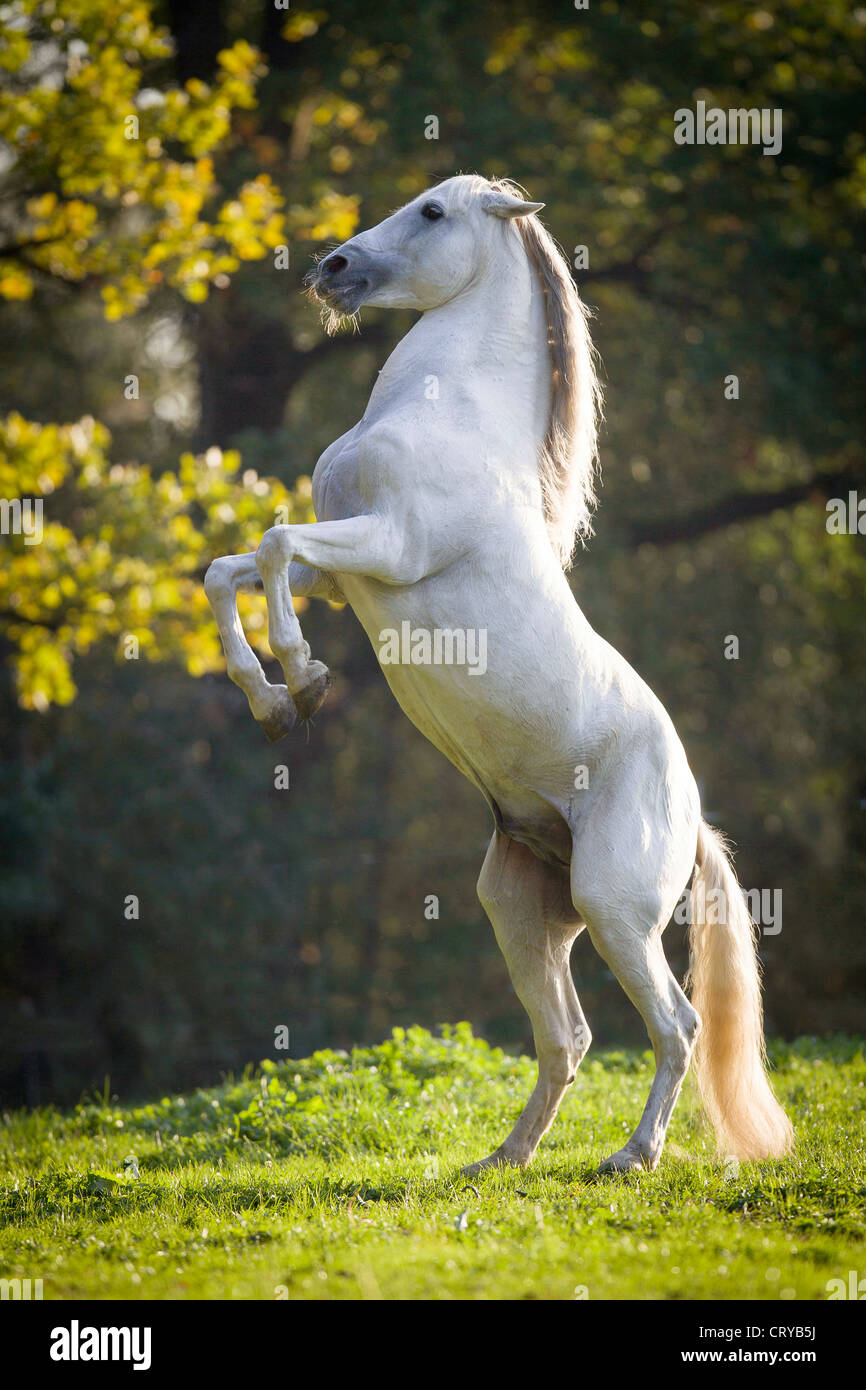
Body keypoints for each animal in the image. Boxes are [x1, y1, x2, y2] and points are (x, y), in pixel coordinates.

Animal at [204, 174, 793, 1173]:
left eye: (434, 213)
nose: (333, 268)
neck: (447, 414)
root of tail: (694, 817)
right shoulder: (341, 574)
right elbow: (232, 569)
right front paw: (277, 703)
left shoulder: (386, 547)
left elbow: (275, 547)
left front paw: (305, 682)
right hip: (519, 912)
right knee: (569, 1039)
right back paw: (503, 1160)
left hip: (614, 910)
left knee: (673, 1026)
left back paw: (632, 1158)